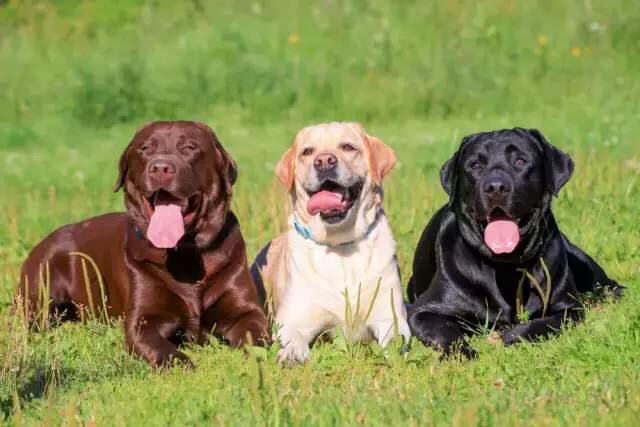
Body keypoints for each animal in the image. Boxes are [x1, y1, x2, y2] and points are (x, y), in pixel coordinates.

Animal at [17, 120, 268, 368]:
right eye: (145, 148)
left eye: (189, 147)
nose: (160, 168)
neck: (184, 254)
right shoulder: (142, 321)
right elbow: (161, 348)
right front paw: (181, 363)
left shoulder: (247, 311)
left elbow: (257, 336)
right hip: (40, 296)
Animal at [408, 129, 624, 356]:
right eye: (475, 165)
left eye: (520, 161)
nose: (495, 187)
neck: (507, 266)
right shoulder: (422, 311)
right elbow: (446, 331)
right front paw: (465, 353)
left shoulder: (569, 308)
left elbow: (542, 323)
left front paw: (511, 335)